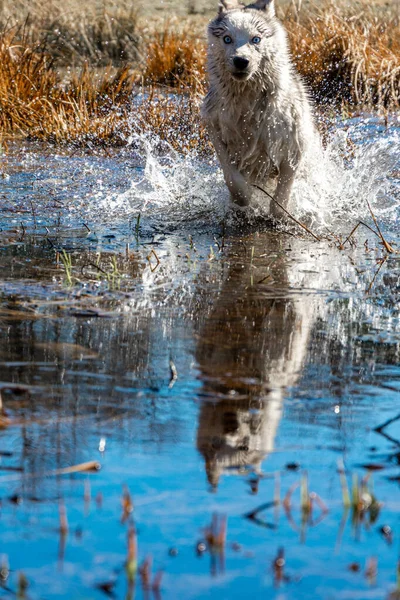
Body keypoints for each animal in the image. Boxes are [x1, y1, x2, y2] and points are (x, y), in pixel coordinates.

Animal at [202, 0, 318, 218]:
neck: (248, 104)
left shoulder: (294, 146)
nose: (241, 61)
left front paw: (279, 215)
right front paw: (243, 201)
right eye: (227, 39)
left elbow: (281, 198)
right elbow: (233, 181)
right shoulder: (215, 130)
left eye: (256, 39)